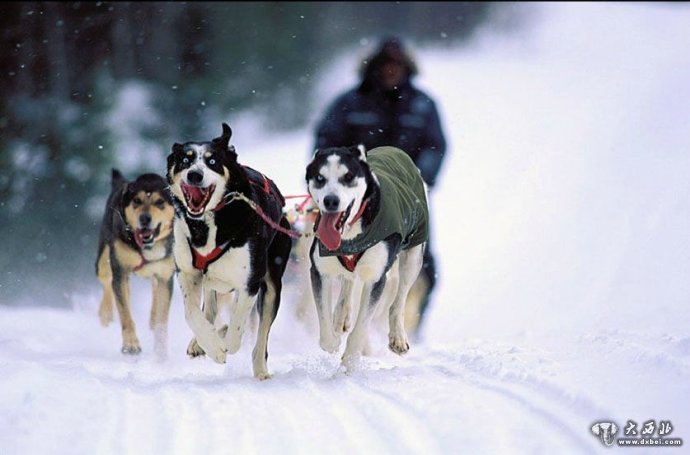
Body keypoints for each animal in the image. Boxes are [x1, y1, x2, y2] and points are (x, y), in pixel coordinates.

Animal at [94, 169, 175, 358]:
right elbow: (125, 314)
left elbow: (162, 317)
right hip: (103, 260)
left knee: (154, 289)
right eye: (137, 201)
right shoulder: (121, 270)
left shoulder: (165, 273)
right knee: (107, 282)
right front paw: (130, 345)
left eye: (160, 202)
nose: (145, 218)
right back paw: (106, 314)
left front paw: (161, 351)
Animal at [169, 123, 292, 380]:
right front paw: (211, 345)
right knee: (210, 308)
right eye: (185, 160)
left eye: (212, 161)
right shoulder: (187, 273)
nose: (195, 174)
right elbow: (192, 314)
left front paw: (223, 343)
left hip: (272, 283)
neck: (207, 224)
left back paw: (260, 369)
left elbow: (236, 330)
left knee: (260, 337)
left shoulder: (250, 283)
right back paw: (201, 342)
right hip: (211, 280)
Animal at [306, 145, 428, 370]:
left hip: (413, 258)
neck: (350, 234)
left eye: (348, 177)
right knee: (349, 281)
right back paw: (341, 315)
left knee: (399, 300)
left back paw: (398, 337)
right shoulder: (319, 270)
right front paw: (333, 342)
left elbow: (361, 328)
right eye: (320, 178)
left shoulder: (376, 278)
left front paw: (349, 363)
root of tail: (394, 149)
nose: (331, 201)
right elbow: (325, 331)